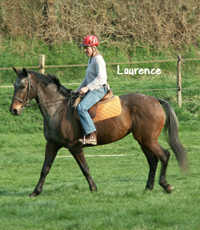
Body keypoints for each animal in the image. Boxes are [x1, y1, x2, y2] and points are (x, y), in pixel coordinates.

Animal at [8, 67, 188, 197]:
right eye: (14, 85)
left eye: (23, 86)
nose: (14, 110)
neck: (58, 108)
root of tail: (155, 100)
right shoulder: (51, 144)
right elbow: (45, 168)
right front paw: (35, 192)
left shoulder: (74, 147)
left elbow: (84, 168)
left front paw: (93, 188)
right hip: (143, 140)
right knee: (152, 160)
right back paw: (148, 187)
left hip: (148, 140)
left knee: (164, 155)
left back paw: (166, 185)